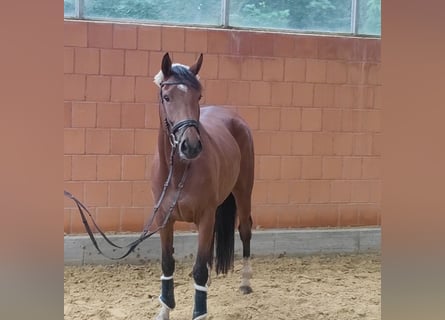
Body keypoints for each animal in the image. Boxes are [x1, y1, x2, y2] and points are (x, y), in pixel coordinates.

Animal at [151, 53, 253, 320]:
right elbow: (168, 262)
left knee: (245, 229)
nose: (191, 146)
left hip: (243, 192)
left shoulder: (206, 217)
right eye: (167, 97)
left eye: (198, 96)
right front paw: (165, 308)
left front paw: (199, 313)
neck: (179, 171)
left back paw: (245, 282)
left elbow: (199, 269)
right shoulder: (164, 219)